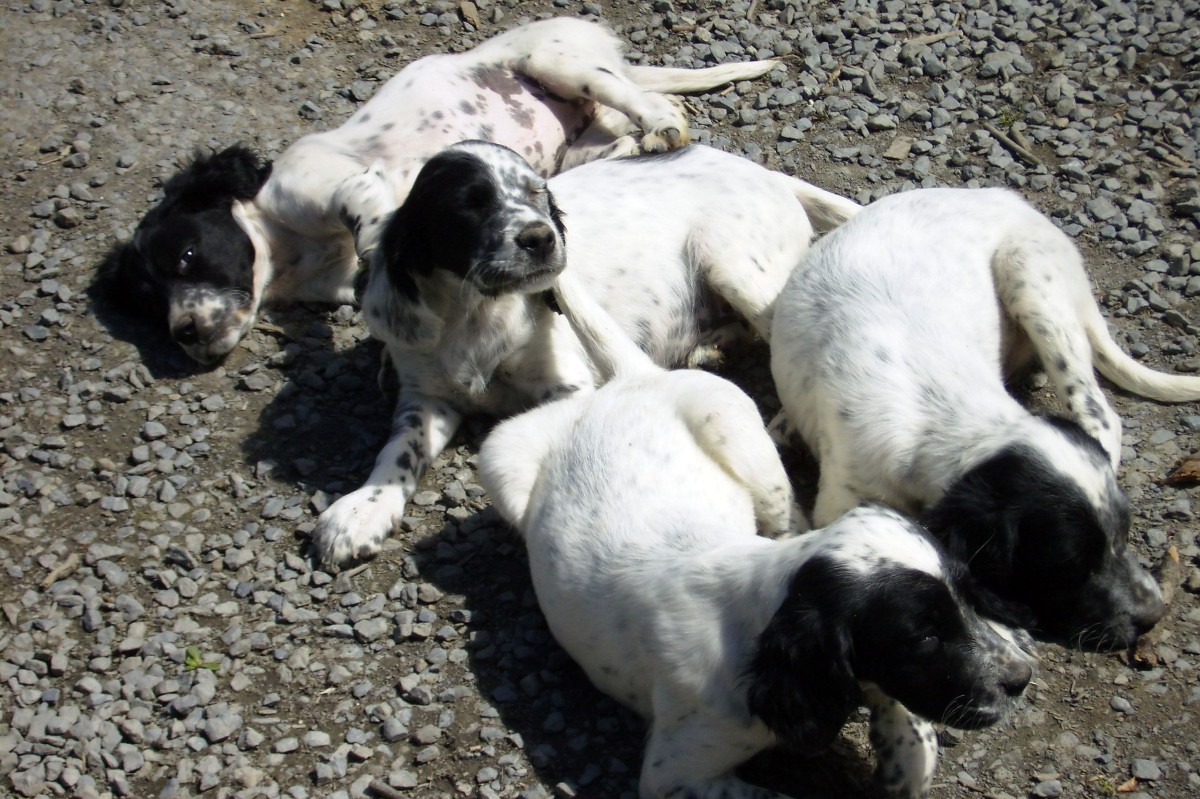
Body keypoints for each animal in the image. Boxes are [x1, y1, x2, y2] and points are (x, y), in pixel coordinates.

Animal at [98, 17, 772, 364]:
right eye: (147, 301)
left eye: (187, 256)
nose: (184, 335)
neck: (290, 250)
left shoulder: (329, 178)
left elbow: (367, 220)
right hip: (576, 143)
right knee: (619, 135)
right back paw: (642, 142)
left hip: (561, 63)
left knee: (649, 100)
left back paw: (663, 127)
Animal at [307, 141, 854, 566]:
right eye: (469, 206)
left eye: (537, 193)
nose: (541, 238)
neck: (478, 311)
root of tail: (765, 172)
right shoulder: (426, 394)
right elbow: (400, 446)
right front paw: (363, 509)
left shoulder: (569, 386)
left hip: (732, 262)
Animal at [477, 266, 1032, 796]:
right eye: (923, 635)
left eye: (967, 598)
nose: (1022, 677)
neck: (755, 624)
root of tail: (630, 380)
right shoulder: (673, 774)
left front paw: (906, 753)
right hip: (498, 458)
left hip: (736, 428)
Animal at [772, 187, 1195, 647]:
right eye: (1070, 563)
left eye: (1125, 531)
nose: (1154, 614)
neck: (945, 410)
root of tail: (1005, 197)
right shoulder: (843, 503)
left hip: (1029, 273)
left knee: (1099, 413)